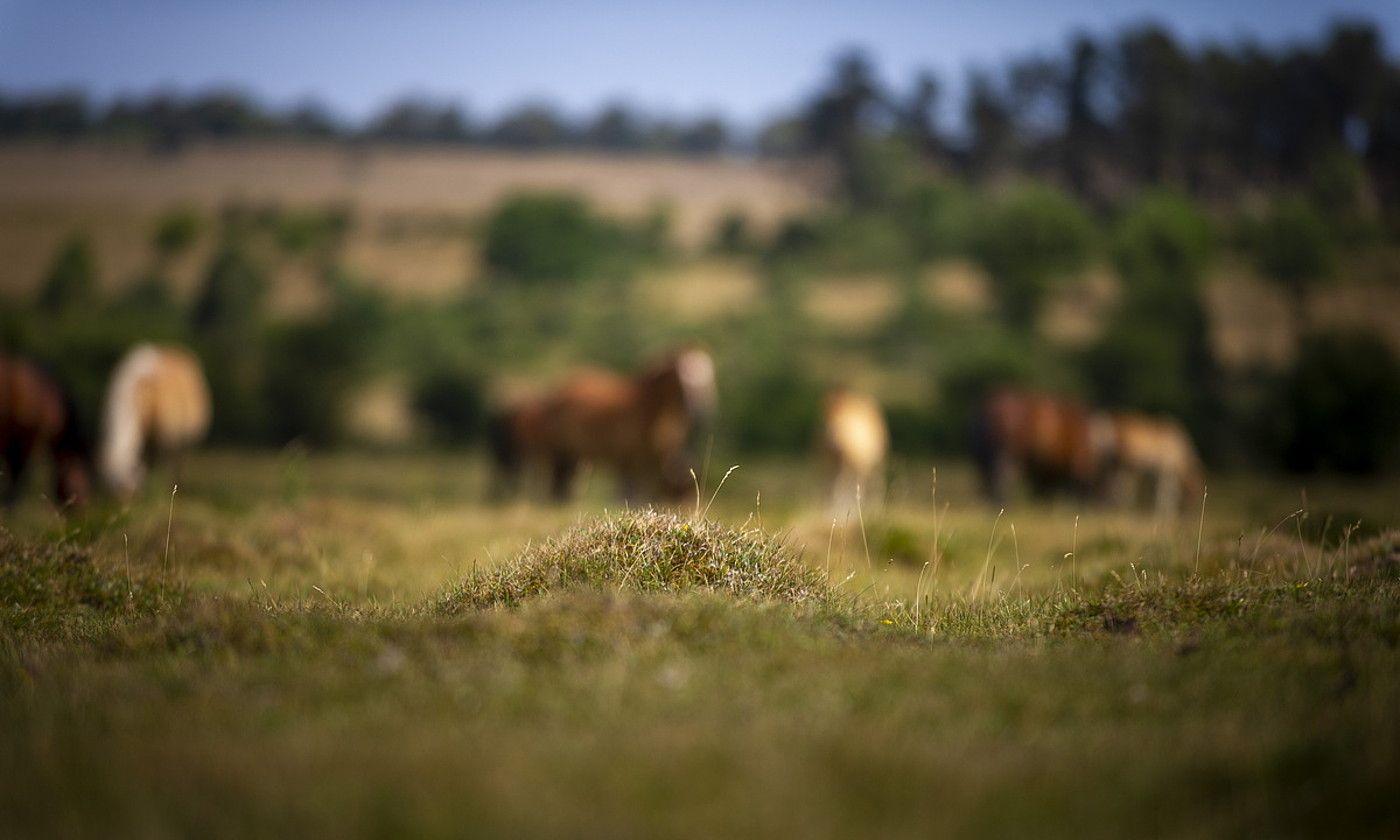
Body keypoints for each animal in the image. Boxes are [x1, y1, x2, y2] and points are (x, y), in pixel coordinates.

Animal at [100, 341, 210, 498]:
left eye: (128, 486)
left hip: (185, 441)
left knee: (178, 462)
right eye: (110, 487)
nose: (124, 500)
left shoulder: (167, 437)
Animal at [490, 345, 716, 501]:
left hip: (569, 457)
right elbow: (630, 495)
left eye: (709, 378)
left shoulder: (645, 462)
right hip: (559, 454)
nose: (702, 411)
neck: (649, 410)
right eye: (683, 378)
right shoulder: (627, 460)